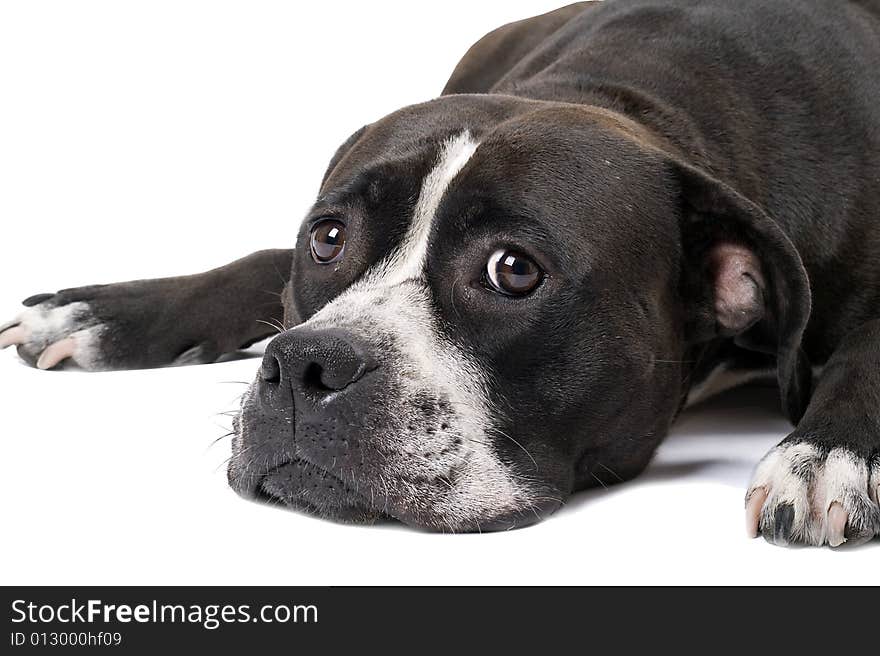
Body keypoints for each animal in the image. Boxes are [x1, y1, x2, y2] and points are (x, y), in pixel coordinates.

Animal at [1, 1, 880, 544]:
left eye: (513, 270)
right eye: (327, 239)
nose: (306, 363)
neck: (640, 98)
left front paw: (826, 453)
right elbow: (262, 262)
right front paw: (101, 311)